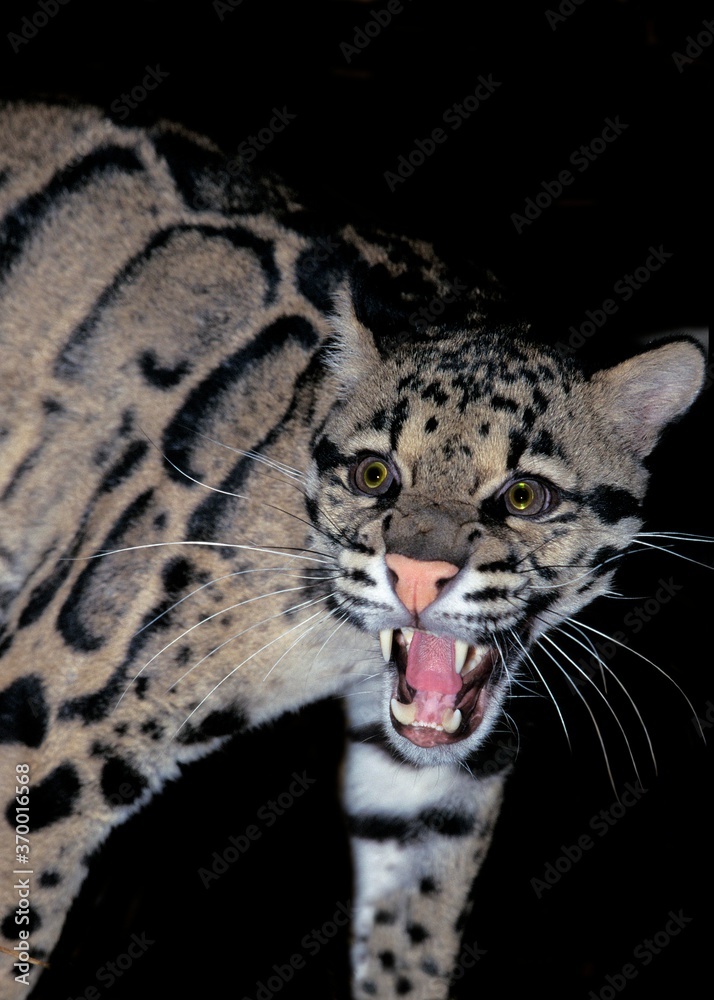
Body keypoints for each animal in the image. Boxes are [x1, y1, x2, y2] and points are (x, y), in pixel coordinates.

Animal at [0, 100, 707, 999]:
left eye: (526, 496)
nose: (418, 574)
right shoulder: (45, 717)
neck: (331, 636)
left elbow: (411, 936)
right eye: (374, 475)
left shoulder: (426, 786)